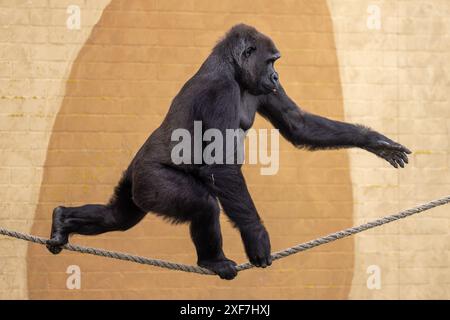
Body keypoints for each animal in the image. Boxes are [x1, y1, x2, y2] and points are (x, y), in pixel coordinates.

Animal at [46, 24, 412, 280]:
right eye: (271, 61)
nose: (277, 75)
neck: (231, 68)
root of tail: (137, 170)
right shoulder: (219, 92)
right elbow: (220, 166)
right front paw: (256, 236)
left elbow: (298, 124)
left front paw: (373, 140)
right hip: (152, 179)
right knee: (203, 205)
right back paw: (213, 260)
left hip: (135, 183)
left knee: (117, 216)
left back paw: (63, 220)